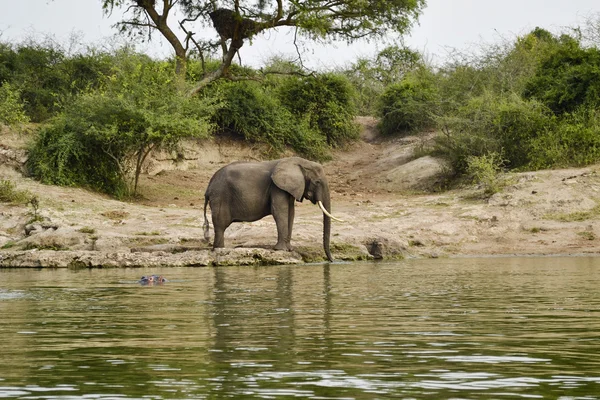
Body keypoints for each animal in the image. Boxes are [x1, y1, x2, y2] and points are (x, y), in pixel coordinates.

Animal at [202, 156, 342, 262]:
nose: (332, 261)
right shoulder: (277, 187)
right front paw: (281, 250)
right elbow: (280, 212)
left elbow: (291, 213)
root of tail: (208, 187)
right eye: (317, 182)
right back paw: (220, 250)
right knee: (220, 225)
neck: (299, 162)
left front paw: (289, 249)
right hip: (220, 196)